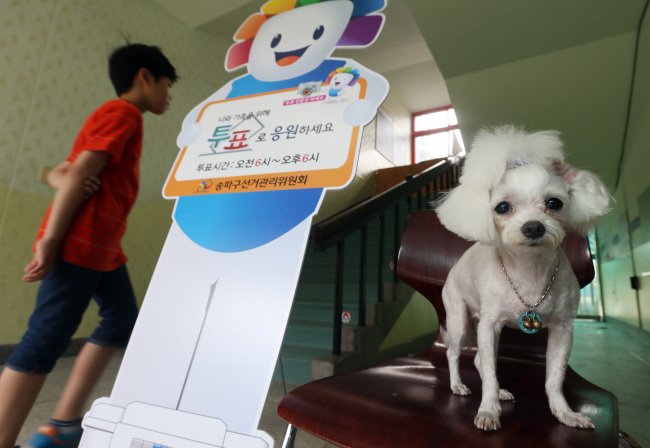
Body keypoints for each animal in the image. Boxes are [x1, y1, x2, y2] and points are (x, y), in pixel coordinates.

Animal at [432, 125, 612, 430]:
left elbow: (554, 379)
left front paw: (565, 413)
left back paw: (501, 392)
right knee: (454, 354)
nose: (533, 227)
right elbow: (488, 376)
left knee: (480, 361)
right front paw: (488, 411)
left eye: (554, 202)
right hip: (459, 321)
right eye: (502, 207)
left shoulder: (563, 331)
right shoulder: (489, 325)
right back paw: (458, 385)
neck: (529, 270)